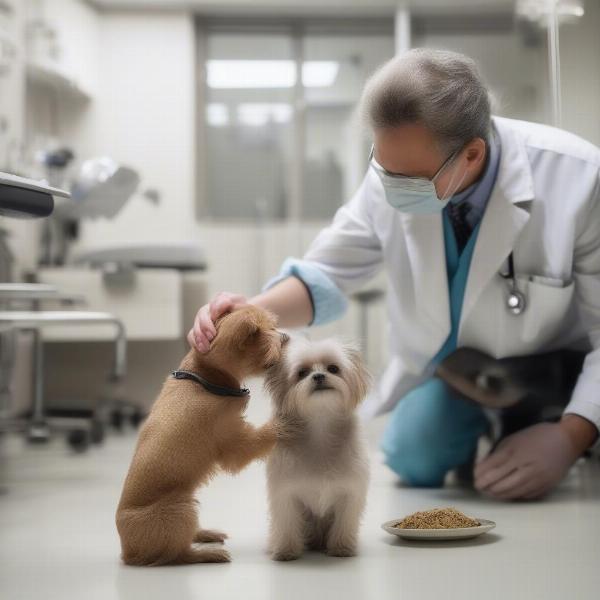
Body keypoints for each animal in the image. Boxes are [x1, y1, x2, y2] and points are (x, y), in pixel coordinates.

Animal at [116, 308, 288, 564]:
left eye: (273, 326)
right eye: (261, 333)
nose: (285, 337)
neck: (204, 377)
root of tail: (127, 552)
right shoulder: (233, 445)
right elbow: (261, 437)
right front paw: (283, 423)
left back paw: (205, 535)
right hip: (179, 509)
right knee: (177, 555)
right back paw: (208, 554)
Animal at [264, 336, 368, 560]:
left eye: (333, 368)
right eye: (302, 373)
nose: (319, 376)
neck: (320, 426)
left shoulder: (349, 494)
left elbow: (344, 523)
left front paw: (341, 548)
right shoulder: (286, 495)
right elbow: (287, 523)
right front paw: (286, 551)